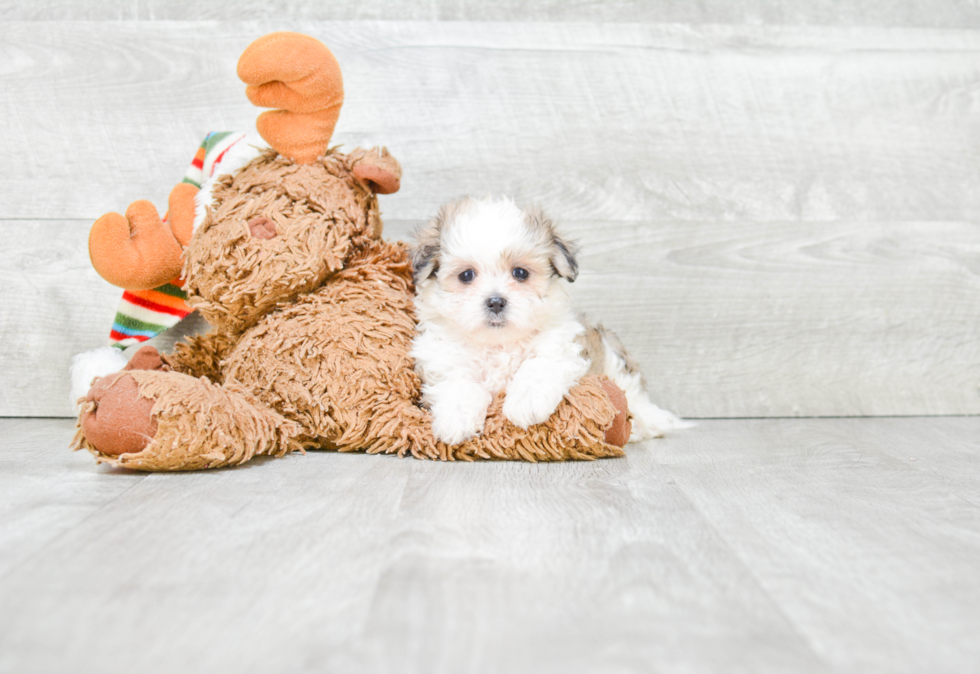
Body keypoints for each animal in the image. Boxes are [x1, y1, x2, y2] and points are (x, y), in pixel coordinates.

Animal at [410, 196, 684, 446]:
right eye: (466, 275)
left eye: (520, 273)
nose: (496, 301)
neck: (498, 344)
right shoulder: (443, 359)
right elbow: (457, 383)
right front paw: (455, 420)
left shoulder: (563, 345)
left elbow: (539, 366)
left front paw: (526, 402)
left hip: (613, 357)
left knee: (635, 395)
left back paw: (649, 422)